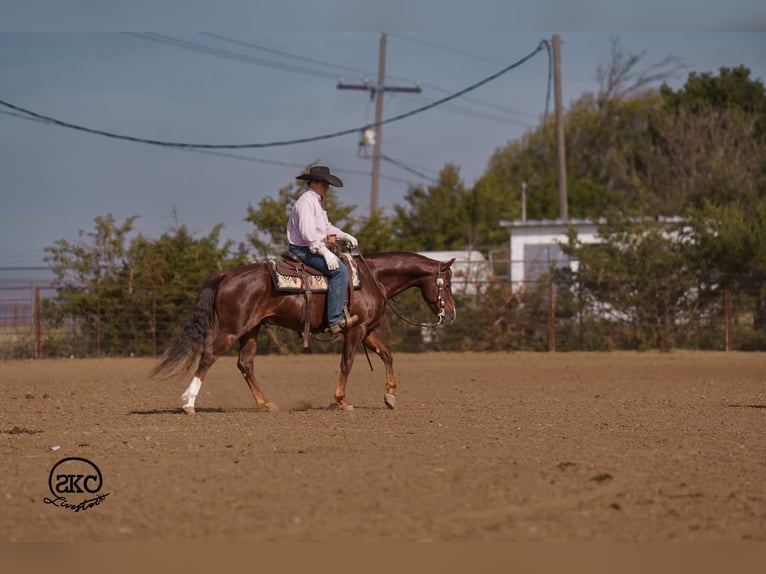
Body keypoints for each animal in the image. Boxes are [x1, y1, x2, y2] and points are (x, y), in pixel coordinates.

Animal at [150, 251, 457, 413]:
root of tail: (227, 274)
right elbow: (347, 363)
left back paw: (265, 403)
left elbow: (387, 354)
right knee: (208, 356)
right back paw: (189, 402)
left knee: (245, 364)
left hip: (251, 330)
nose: (451, 314)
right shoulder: (355, 330)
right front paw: (341, 400)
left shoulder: (367, 330)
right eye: (448, 283)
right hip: (232, 330)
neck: (373, 280)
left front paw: (390, 396)